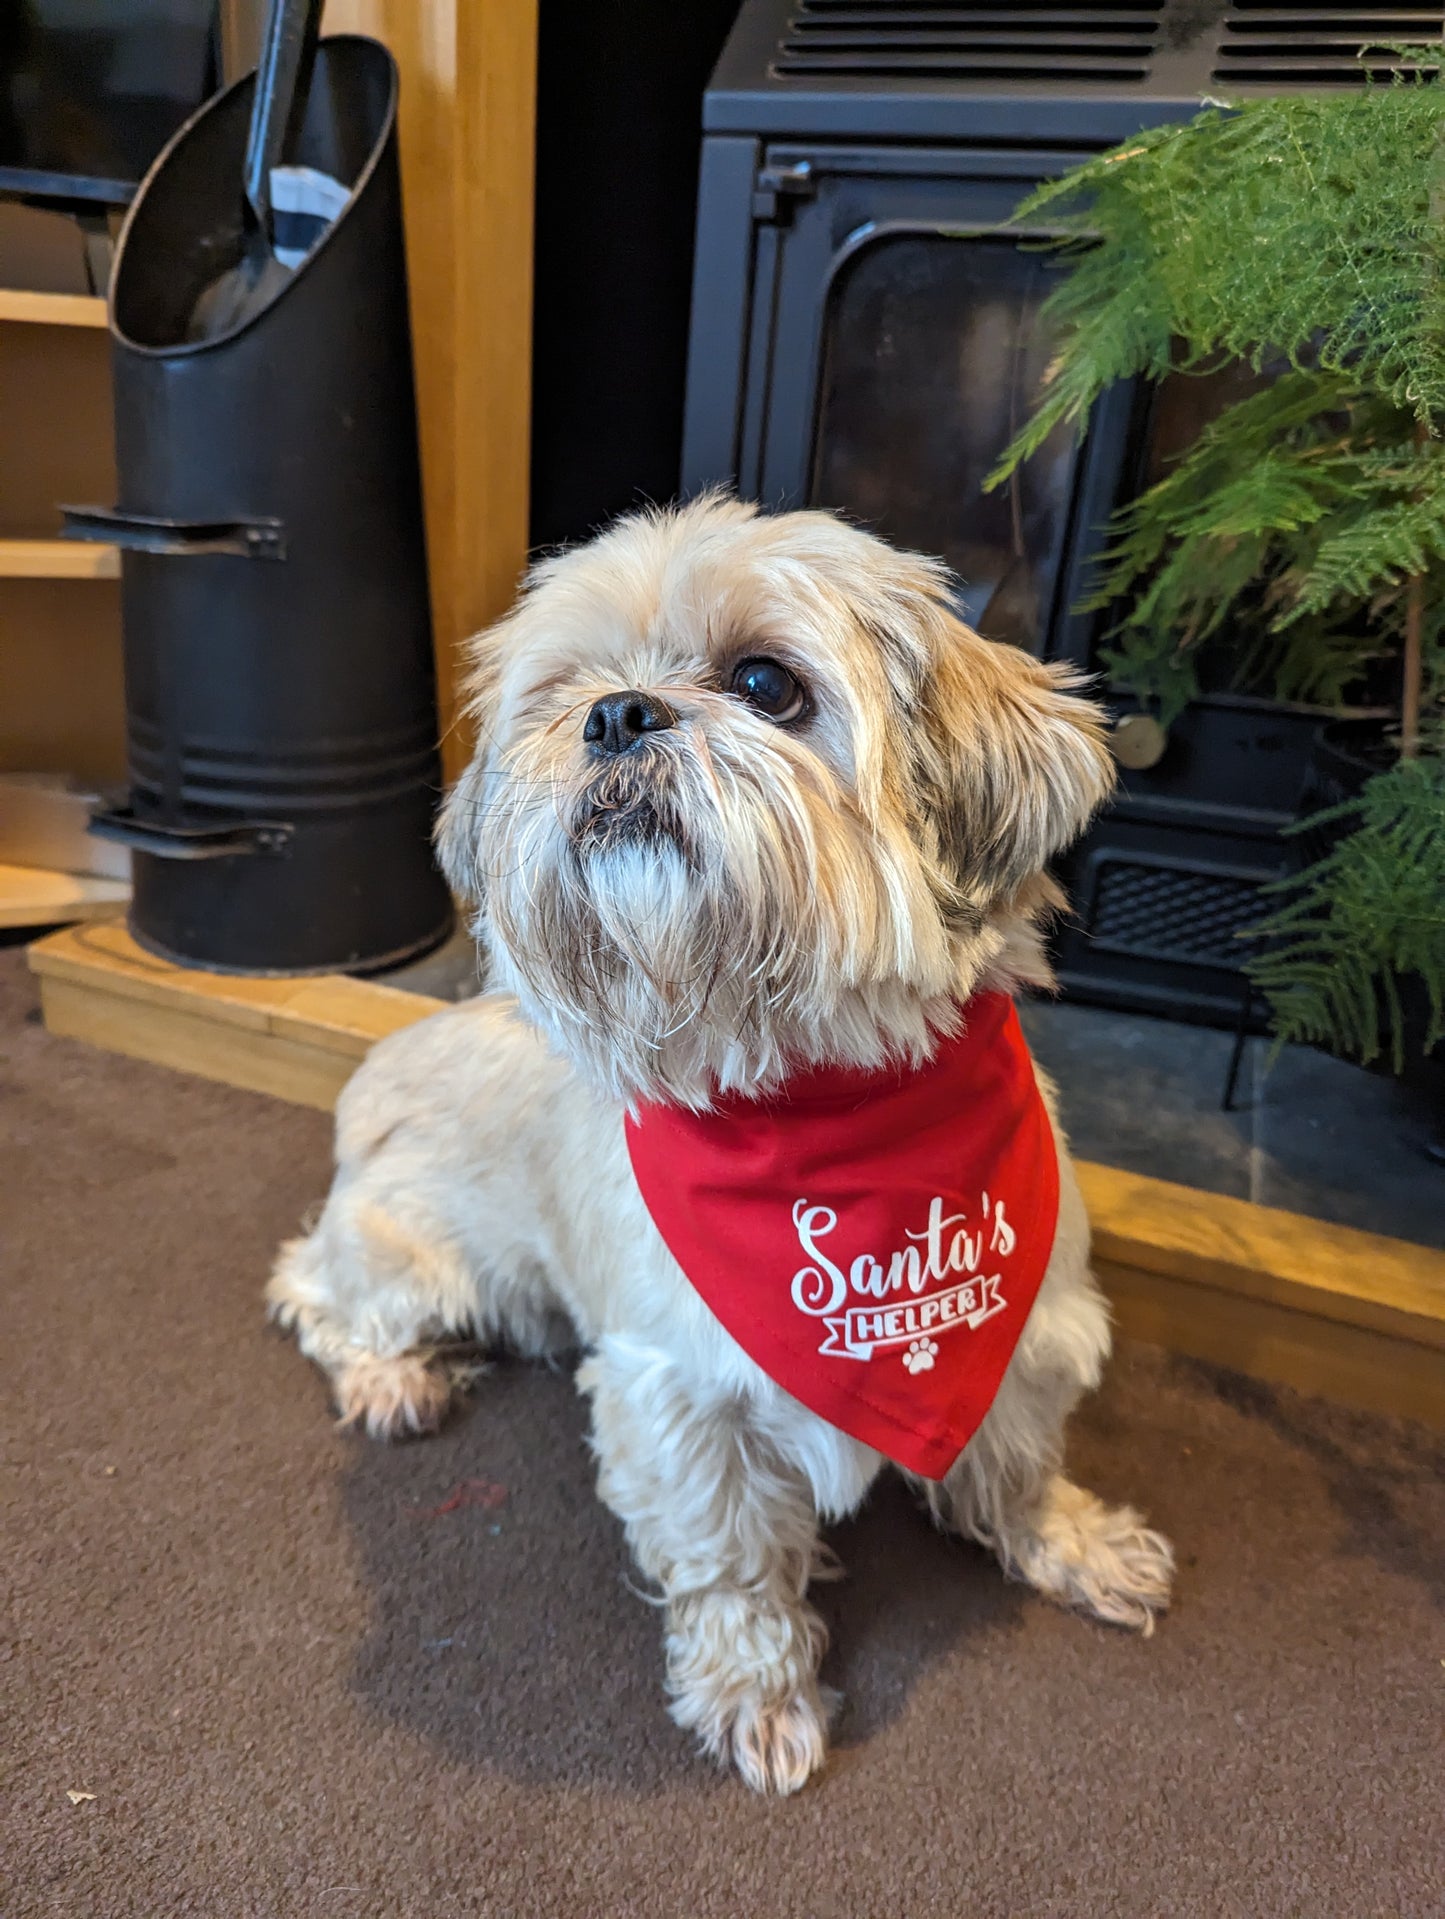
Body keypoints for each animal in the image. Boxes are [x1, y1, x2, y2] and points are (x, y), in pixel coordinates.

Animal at [268, 495, 1174, 1796]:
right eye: (565, 693)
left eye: (764, 683)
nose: (612, 713)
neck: (809, 1093)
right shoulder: (680, 1398)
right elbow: (729, 1563)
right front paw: (758, 1690)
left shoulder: (1029, 1325)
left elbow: (1018, 1461)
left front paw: (1070, 1541)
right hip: (415, 1255)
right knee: (313, 1287)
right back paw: (390, 1377)